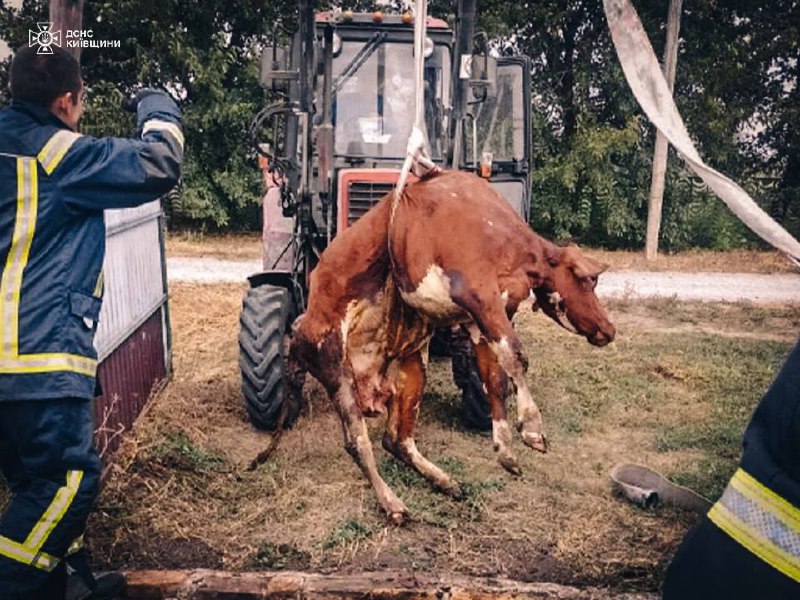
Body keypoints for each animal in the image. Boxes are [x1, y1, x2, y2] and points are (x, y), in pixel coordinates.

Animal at [288, 170, 612, 524]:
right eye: (588, 280)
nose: (609, 330)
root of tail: (299, 327)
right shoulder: (479, 293)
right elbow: (516, 355)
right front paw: (532, 428)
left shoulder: (478, 320)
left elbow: (495, 378)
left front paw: (505, 451)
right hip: (333, 363)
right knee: (357, 442)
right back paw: (392, 502)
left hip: (412, 363)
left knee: (396, 440)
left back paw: (443, 481)